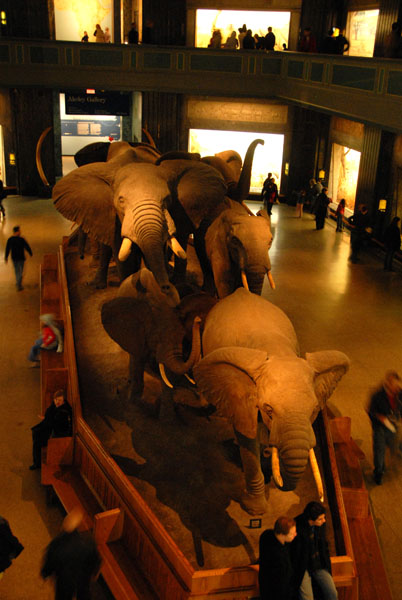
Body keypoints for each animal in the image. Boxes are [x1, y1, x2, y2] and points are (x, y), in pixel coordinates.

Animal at [192, 288, 348, 512]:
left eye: (314, 410)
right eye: (268, 410)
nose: (320, 501)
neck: (277, 350)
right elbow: (246, 437)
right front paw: (254, 509)